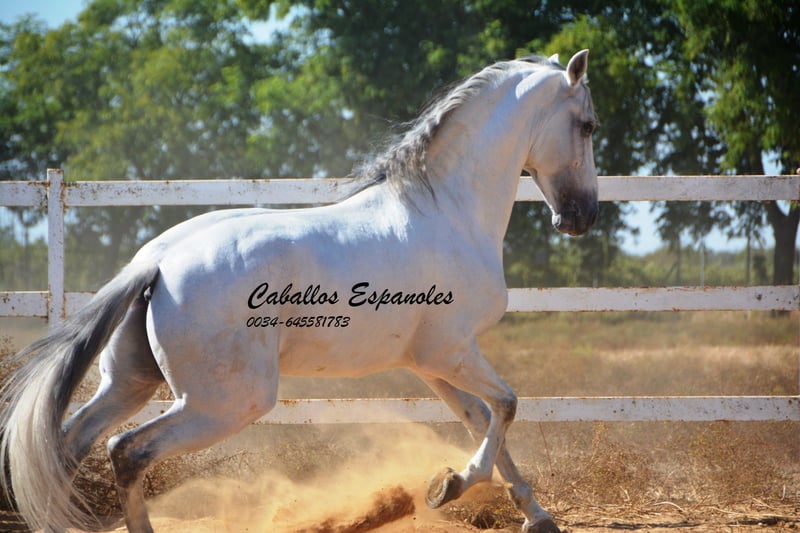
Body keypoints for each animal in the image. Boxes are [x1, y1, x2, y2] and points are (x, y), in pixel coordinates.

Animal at [0, 49, 598, 533]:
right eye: (588, 125)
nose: (582, 217)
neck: (447, 211)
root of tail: (156, 263)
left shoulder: (431, 362)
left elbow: (481, 418)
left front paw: (533, 515)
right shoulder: (452, 351)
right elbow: (507, 406)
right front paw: (449, 485)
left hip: (131, 384)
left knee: (68, 442)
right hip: (227, 402)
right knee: (126, 450)